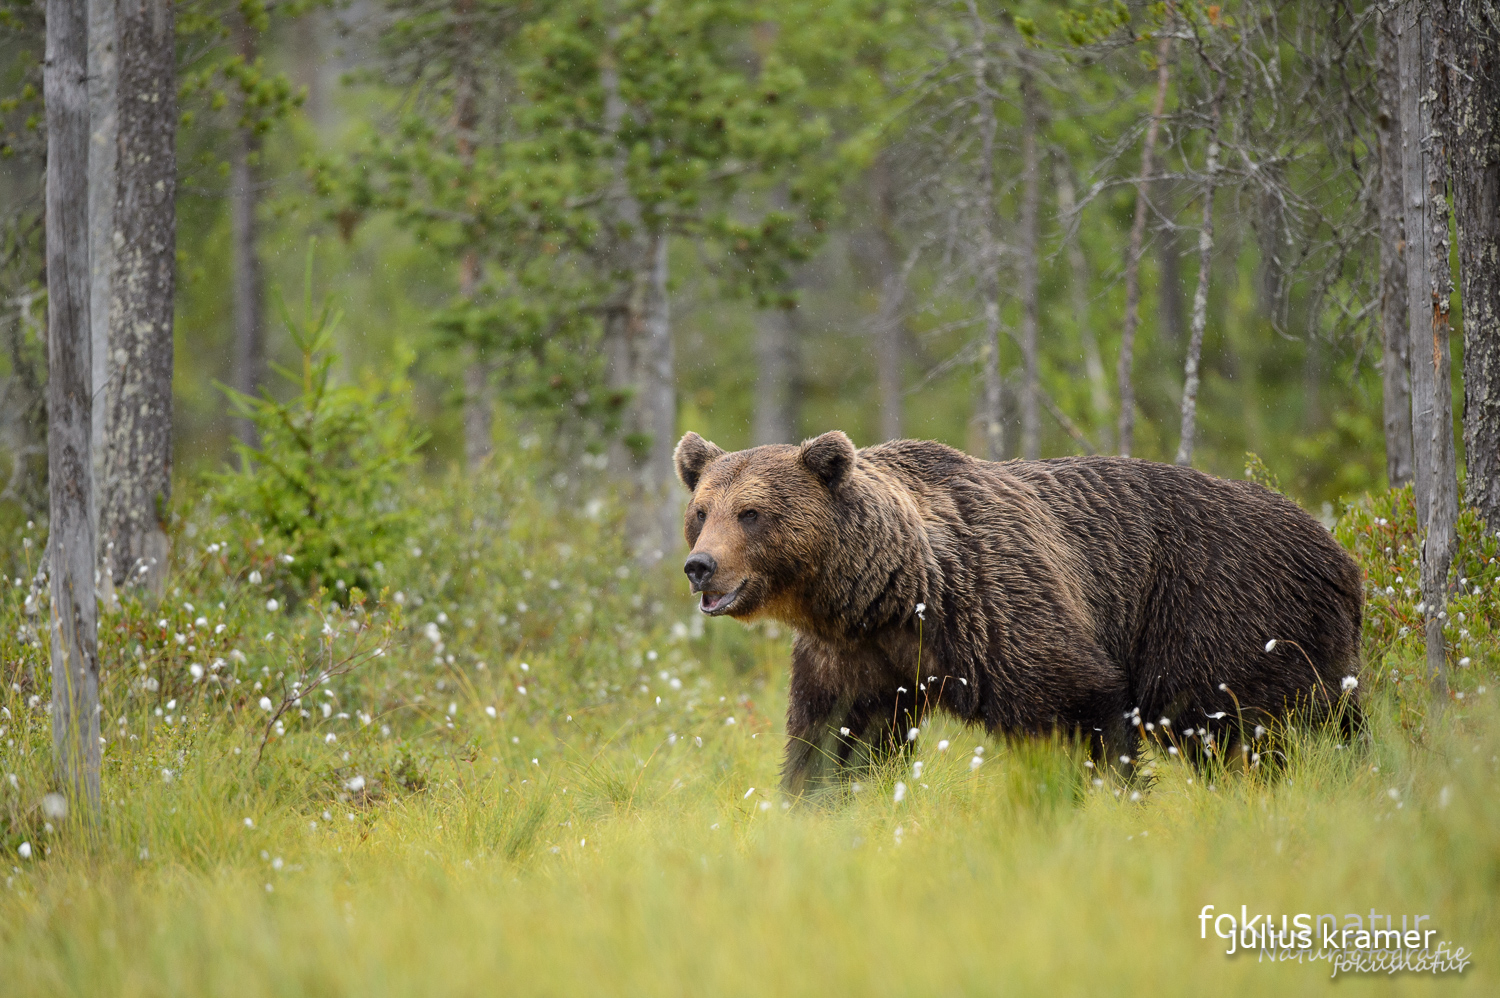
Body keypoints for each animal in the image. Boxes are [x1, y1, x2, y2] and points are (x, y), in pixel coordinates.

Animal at [675, 429, 1368, 792]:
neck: (892, 593)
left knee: (1243, 732)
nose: (700, 566)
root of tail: (1341, 555)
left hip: (1221, 618)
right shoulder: (853, 656)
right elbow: (830, 741)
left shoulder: (995, 610)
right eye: (702, 510)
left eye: (751, 513)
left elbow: (1079, 702)